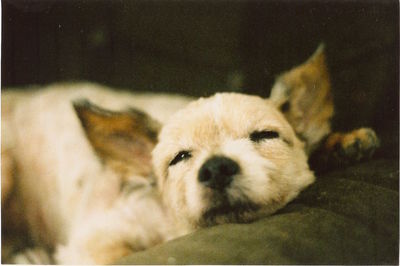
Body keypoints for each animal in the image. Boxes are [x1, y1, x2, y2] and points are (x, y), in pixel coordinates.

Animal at [0, 45, 378, 264]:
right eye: (179, 158)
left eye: (265, 135)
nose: (216, 168)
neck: (173, 228)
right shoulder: (94, 241)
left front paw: (342, 144)